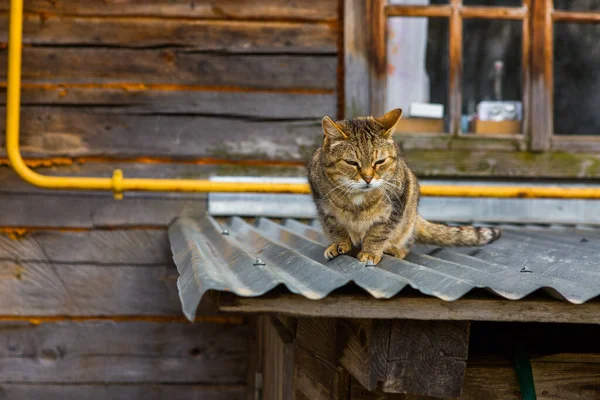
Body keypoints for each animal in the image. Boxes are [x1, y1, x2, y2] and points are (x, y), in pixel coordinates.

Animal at [308, 109, 500, 266]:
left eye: (380, 162)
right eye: (351, 163)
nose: (368, 178)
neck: (357, 198)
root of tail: (416, 218)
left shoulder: (396, 204)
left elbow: (377, 233)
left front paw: (370, 252)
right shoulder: (324, 208)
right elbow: (336, 229)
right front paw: (339, 244)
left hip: (409, 212)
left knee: (407, 242)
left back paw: (394, 249)